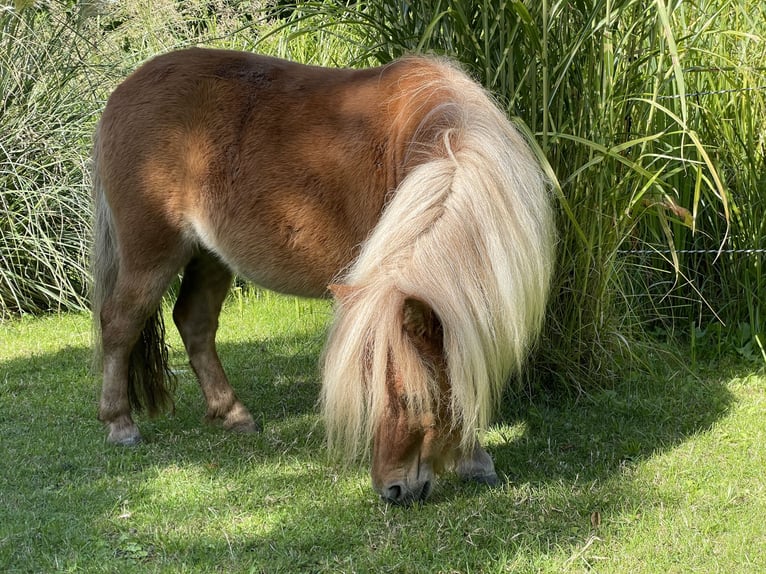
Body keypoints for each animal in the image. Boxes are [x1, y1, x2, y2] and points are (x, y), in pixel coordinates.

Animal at [93, 50, 556, 508]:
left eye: (411, 399)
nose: (390, 490)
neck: (442, 142)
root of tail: (121, 93)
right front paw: (475, 460)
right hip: (151, 254)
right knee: (119, 324)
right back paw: (120, 424)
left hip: (209, 256)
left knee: (195, 323)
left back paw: (233, 414)